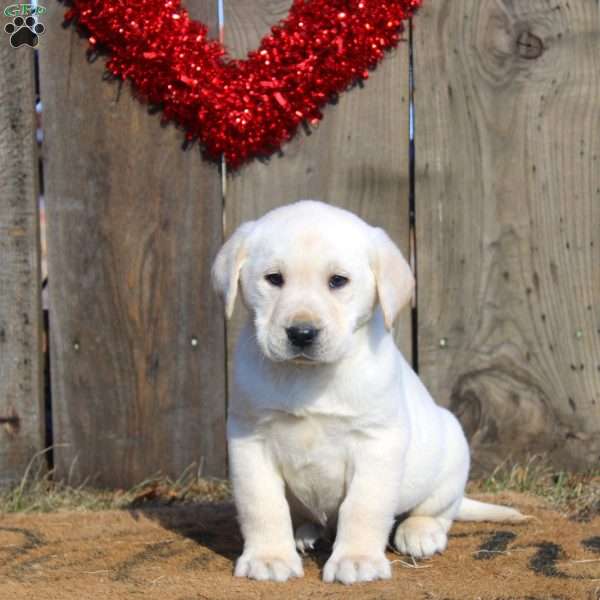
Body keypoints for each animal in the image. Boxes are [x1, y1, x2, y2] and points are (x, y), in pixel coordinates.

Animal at [212, 199, 524, 584]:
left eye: (337, 281)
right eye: (274, 279)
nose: (301, 333)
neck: (309, 377)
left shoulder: (376, 442)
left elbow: (363, 506)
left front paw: (357, 560)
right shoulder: (250, 440)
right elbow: (262, 505)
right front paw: (269, 557)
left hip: (451, 451)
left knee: (438, 509)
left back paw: (420, 532)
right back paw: (305, 532)